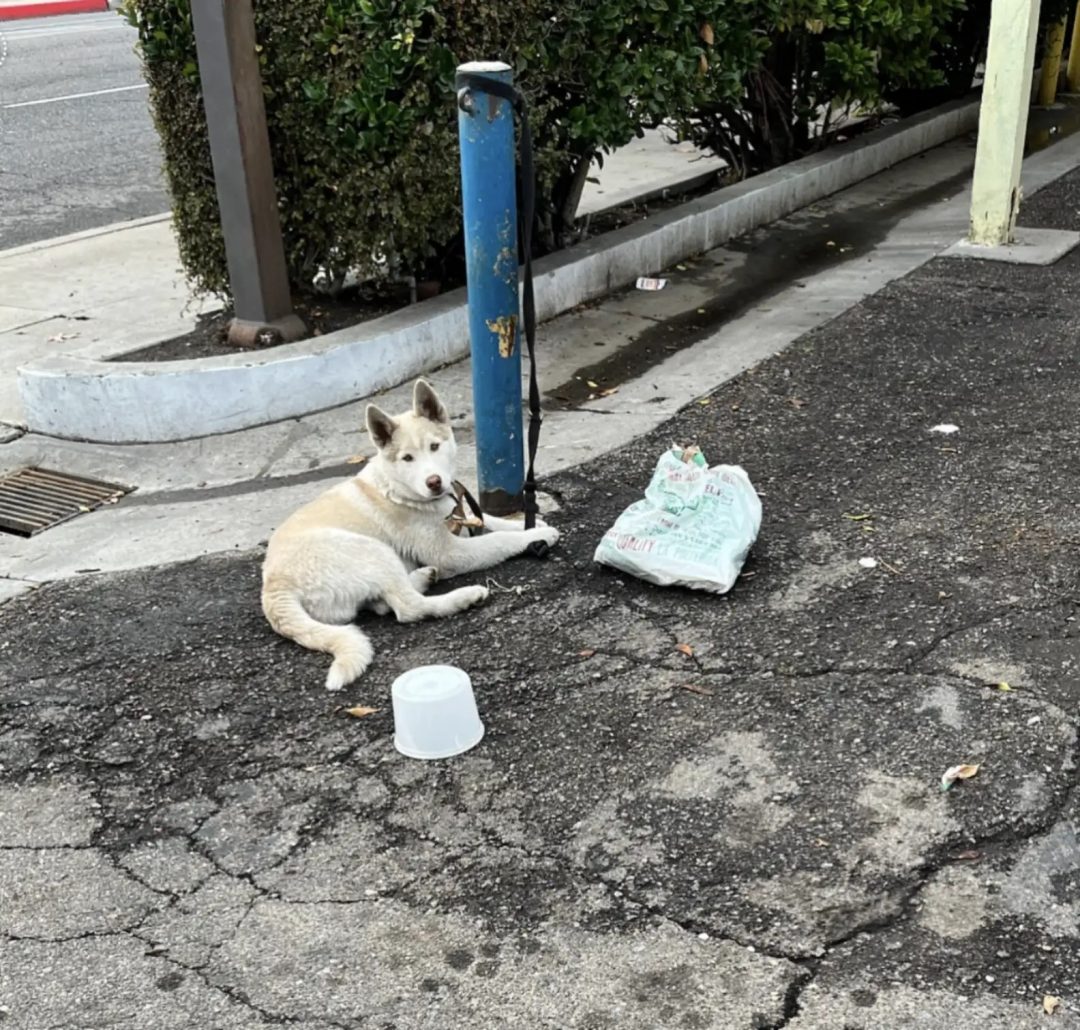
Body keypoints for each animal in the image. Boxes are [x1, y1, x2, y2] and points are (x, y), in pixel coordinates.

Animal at [261, 373, 561, 686]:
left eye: (434, 447)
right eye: (407, 458)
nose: (434, 482)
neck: (397, 488)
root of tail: (274, 589)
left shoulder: (457, 516)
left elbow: (486, 519)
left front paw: (527, 523)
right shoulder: (450, 553)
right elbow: (499, 540)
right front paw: (535, 535)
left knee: (385, 603)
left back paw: (423, 576)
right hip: (372, 550)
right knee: (407, 608)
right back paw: (461, 597)